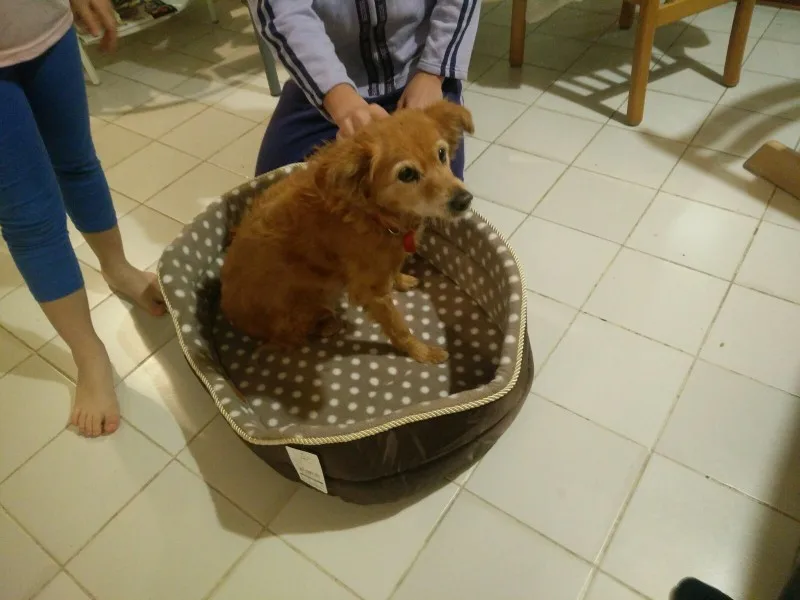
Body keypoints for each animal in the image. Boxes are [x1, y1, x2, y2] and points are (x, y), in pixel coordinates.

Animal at [220, 100, 474, 364]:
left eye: (442, 154)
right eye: (406, 174)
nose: (464, 200)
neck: (372, 214)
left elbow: (392, 272)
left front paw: (401, 280)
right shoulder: (371, 292)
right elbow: (398, 327)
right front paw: (421, 352)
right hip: (308, 300)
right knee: (292, 338)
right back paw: (327, 325)